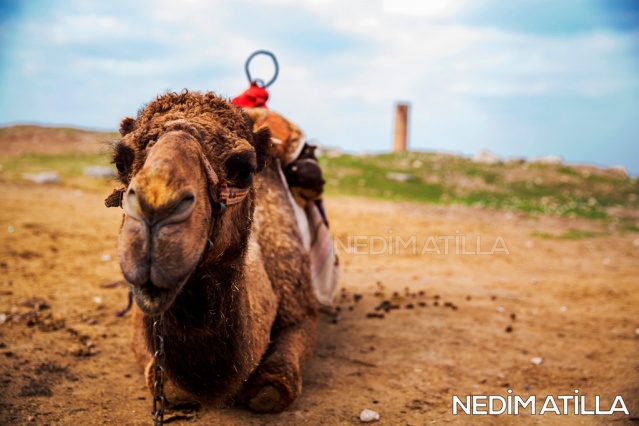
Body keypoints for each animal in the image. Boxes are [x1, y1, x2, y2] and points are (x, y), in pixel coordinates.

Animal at [112, 90, 320, 412]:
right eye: (120, 162)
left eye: (244, 169)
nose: (155, 211)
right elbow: (163, 381)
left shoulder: (302, 309)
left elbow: (275, 387)